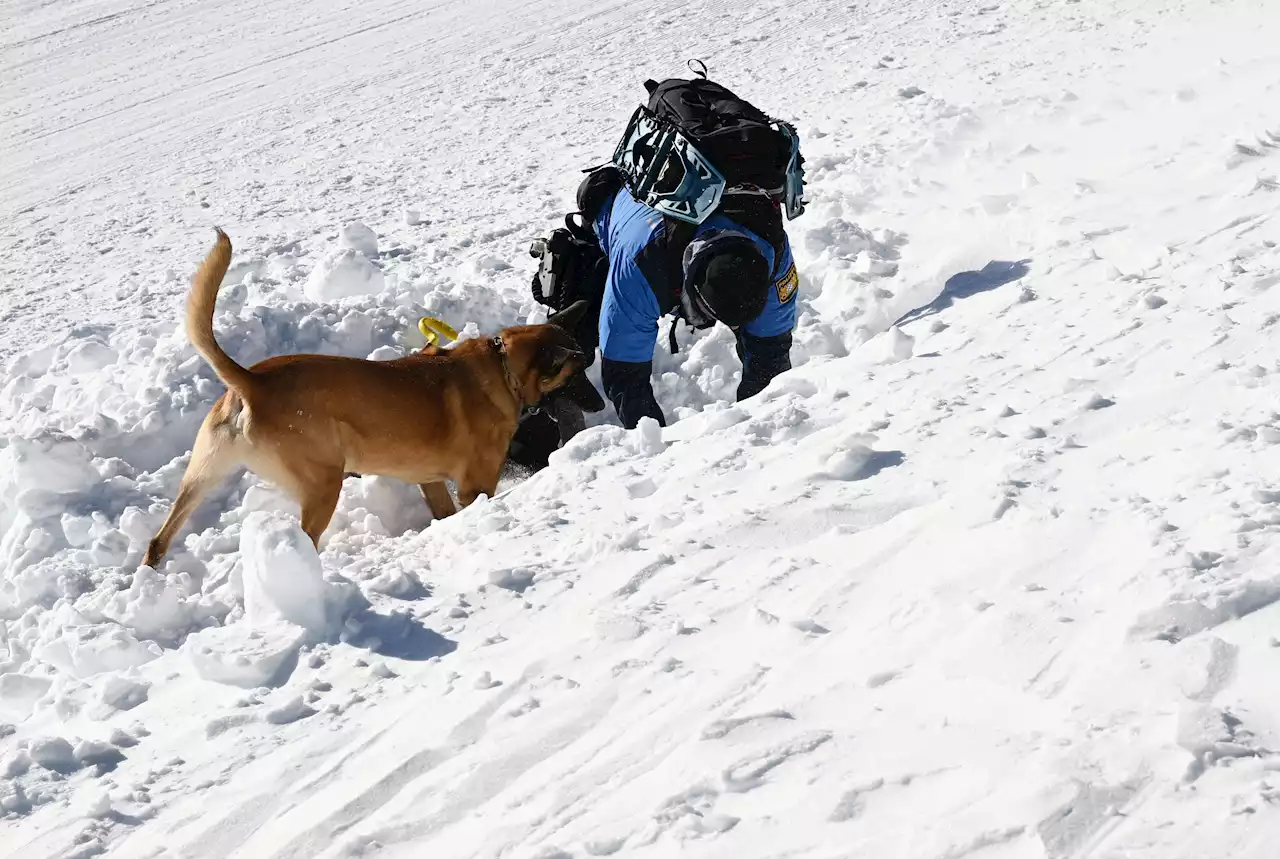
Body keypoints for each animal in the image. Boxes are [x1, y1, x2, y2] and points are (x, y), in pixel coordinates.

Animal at [142, 227, 591, 568]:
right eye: (576, 375)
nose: (599, 404)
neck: (502, 366)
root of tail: (251, 381)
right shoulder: (475, 485)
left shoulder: (430, 480)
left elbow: (441, 511)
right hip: (323, 482)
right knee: (304, 538)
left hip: (203, 473)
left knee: (158, 539)